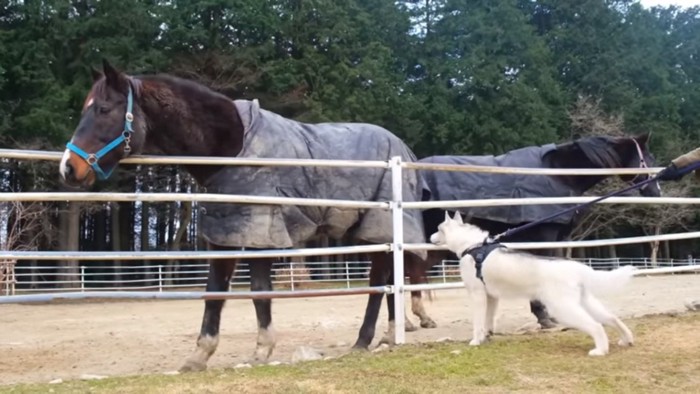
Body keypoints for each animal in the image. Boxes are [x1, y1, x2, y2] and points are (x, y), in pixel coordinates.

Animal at [58, 60, 432, 370]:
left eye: (103, 109)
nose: (69, 167)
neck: (232, 147)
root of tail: (400, 146)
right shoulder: (225, 234)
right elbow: (214, 293)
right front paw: (199, 356)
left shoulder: (259, 233)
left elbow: (259, 291)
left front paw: (262, 350)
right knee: (386, 279)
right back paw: (389, 334)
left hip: (378, 228)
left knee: (377, 282)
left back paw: (364, 340)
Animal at [408, 135, 660, 330]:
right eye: (648, 159)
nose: (656, 191)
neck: (557, 174)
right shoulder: (544, 236)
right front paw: (543, 316)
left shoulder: (558, 238)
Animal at [430, 212, 636, 358]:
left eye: (439, 228)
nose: (430, 238)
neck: (473, 246)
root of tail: (575, 267)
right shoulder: (492, 297)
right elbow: (488, 320)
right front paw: (486, 337)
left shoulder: (477, 295)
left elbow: (478, 323)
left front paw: (475, 340)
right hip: (584, 303)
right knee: (612, 319)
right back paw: (626, 340)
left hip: (563, 309)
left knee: (596, 326)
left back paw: (600, 350)